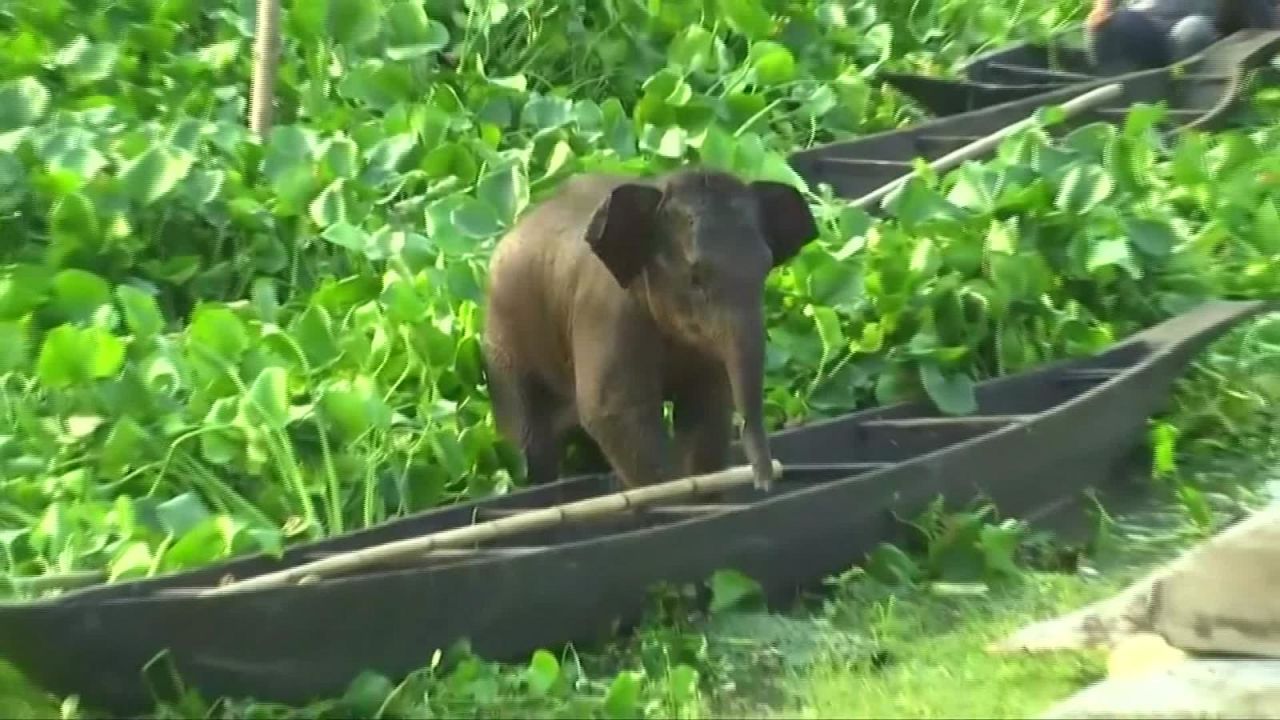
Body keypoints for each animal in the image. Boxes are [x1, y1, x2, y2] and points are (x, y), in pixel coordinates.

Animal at [481, 167, 819, 489]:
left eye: (766, 268)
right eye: (695, 278)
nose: (765, 483)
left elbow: (707, 406)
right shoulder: (605, 312)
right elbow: (616, 412)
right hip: (503, 345)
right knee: (528, 444)